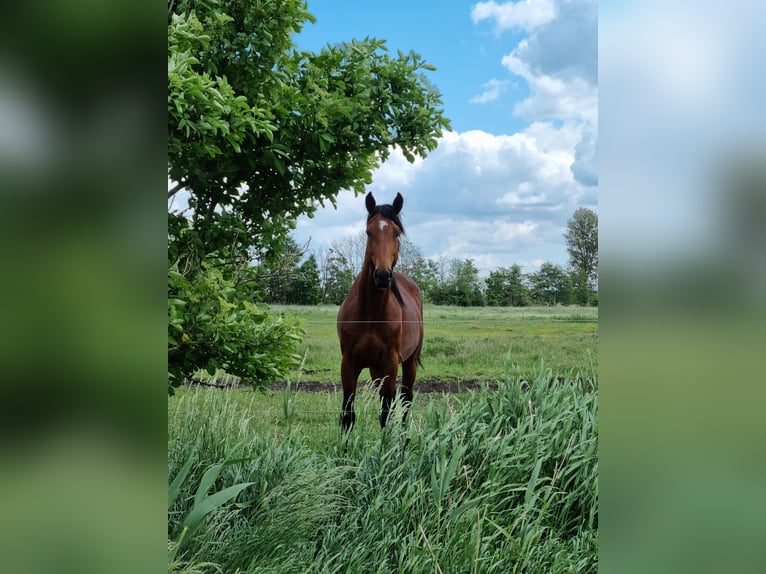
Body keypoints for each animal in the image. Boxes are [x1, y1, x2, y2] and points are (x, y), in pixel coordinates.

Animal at [337, 192, 424, 431]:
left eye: (396, 232)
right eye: (369, 232)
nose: (383, 276)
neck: (369, 314)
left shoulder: (390, 364)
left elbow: (386, 414)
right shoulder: (349, 365)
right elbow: (347, 415)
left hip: (409, 362)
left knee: (405, 400)